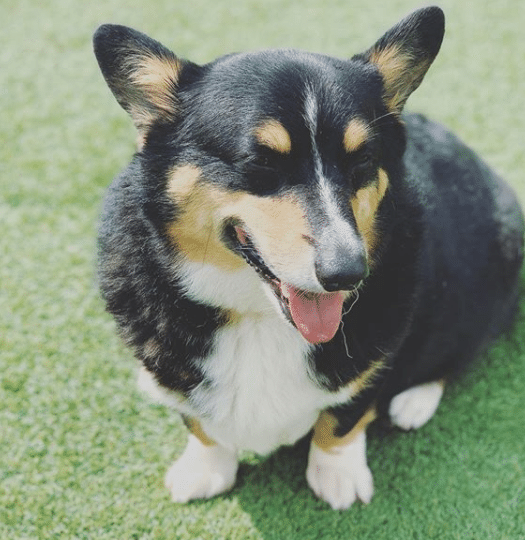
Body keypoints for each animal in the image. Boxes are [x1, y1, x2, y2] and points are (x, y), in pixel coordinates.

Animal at [92, 6, 520, 508]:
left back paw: (414, 401)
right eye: (260, 161)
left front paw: (337, 475)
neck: (257, 317)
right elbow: (199, 422)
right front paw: (205, 470)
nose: (348, 273)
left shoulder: (376, 361)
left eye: (362, 160)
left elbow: (345, 415)